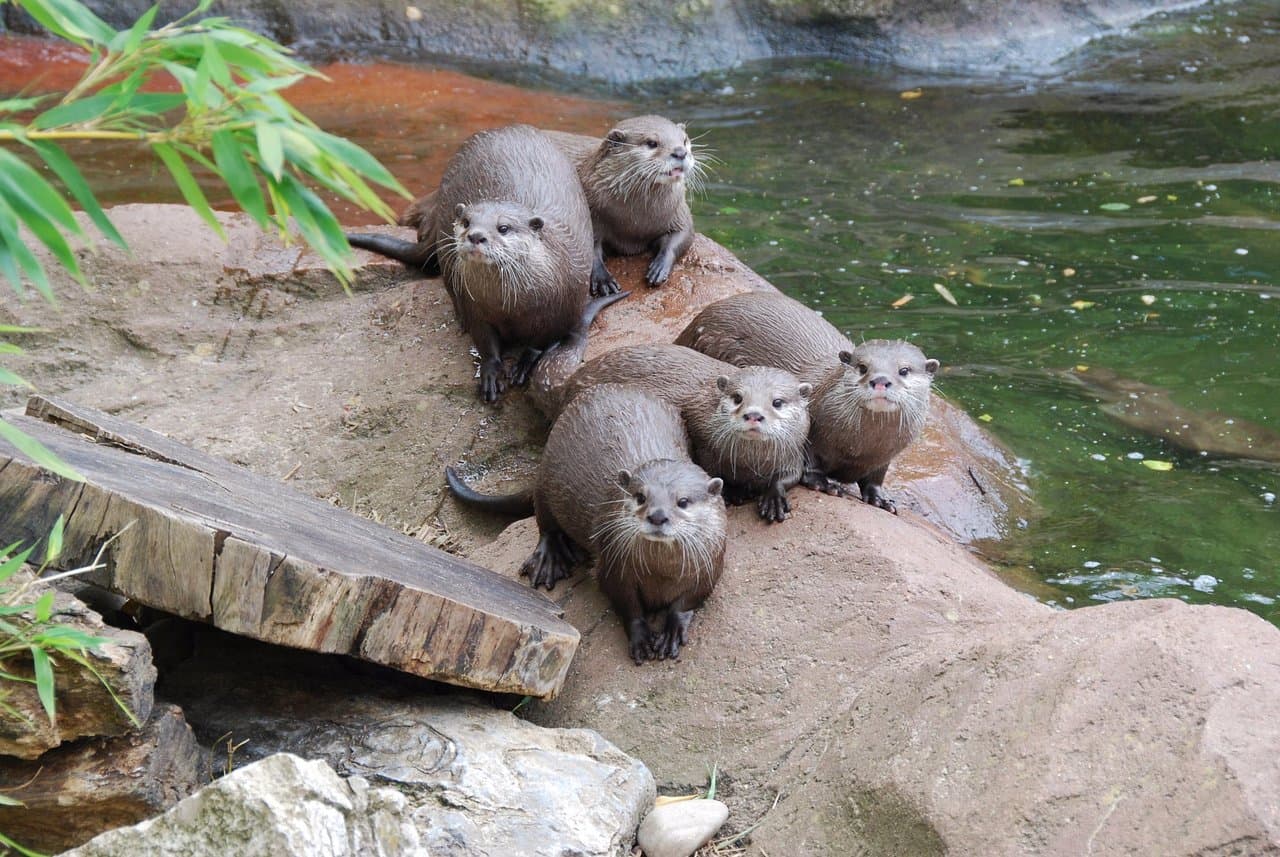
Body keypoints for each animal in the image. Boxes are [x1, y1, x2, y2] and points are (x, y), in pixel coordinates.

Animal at [345, 125, 593, 402]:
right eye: (466, 222)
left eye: (503, 227)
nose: (476, 235)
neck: (514, 305)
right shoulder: (475, 306)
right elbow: (485, 339)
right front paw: (491, 371)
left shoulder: (564, 308)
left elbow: (542, 342)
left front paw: (526, 362)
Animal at [446, 384, 726, 664]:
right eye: (640, 496)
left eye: (683, 501)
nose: (657, 516)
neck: (662, 573)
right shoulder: (613, 566)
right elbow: (627, 604)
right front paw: (641, 638)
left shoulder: (710, 567)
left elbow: (688, 601)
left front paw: (671, 631)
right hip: (547, 476)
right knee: (545, 522)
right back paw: (550, 558)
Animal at [542, 345, 811, 523]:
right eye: (737, 397)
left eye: (777, 402)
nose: (753, 414)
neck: (751, 464)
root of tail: (570, 382)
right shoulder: (703, 443)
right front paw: (734, 491)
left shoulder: (794, 451)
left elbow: (791, 475)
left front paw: (774, 498)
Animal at [676, 291, 939, 513]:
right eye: (863, 367)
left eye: (904, 370)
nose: (881, 380)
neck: (860, 447)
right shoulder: (811, 433)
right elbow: (808, 463)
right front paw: (823, 483)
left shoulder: (884, 457)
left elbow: (875, 479)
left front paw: (880, 498)